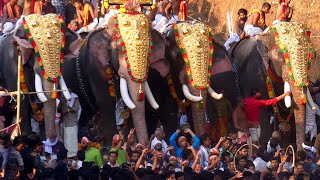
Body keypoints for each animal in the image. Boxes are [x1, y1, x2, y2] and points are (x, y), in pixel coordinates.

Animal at [229, 21, 316, 150]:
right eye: (281, 57)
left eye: (311, 56)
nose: (302, 150)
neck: (266, 36)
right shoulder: (254, 74)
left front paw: (286, 147)